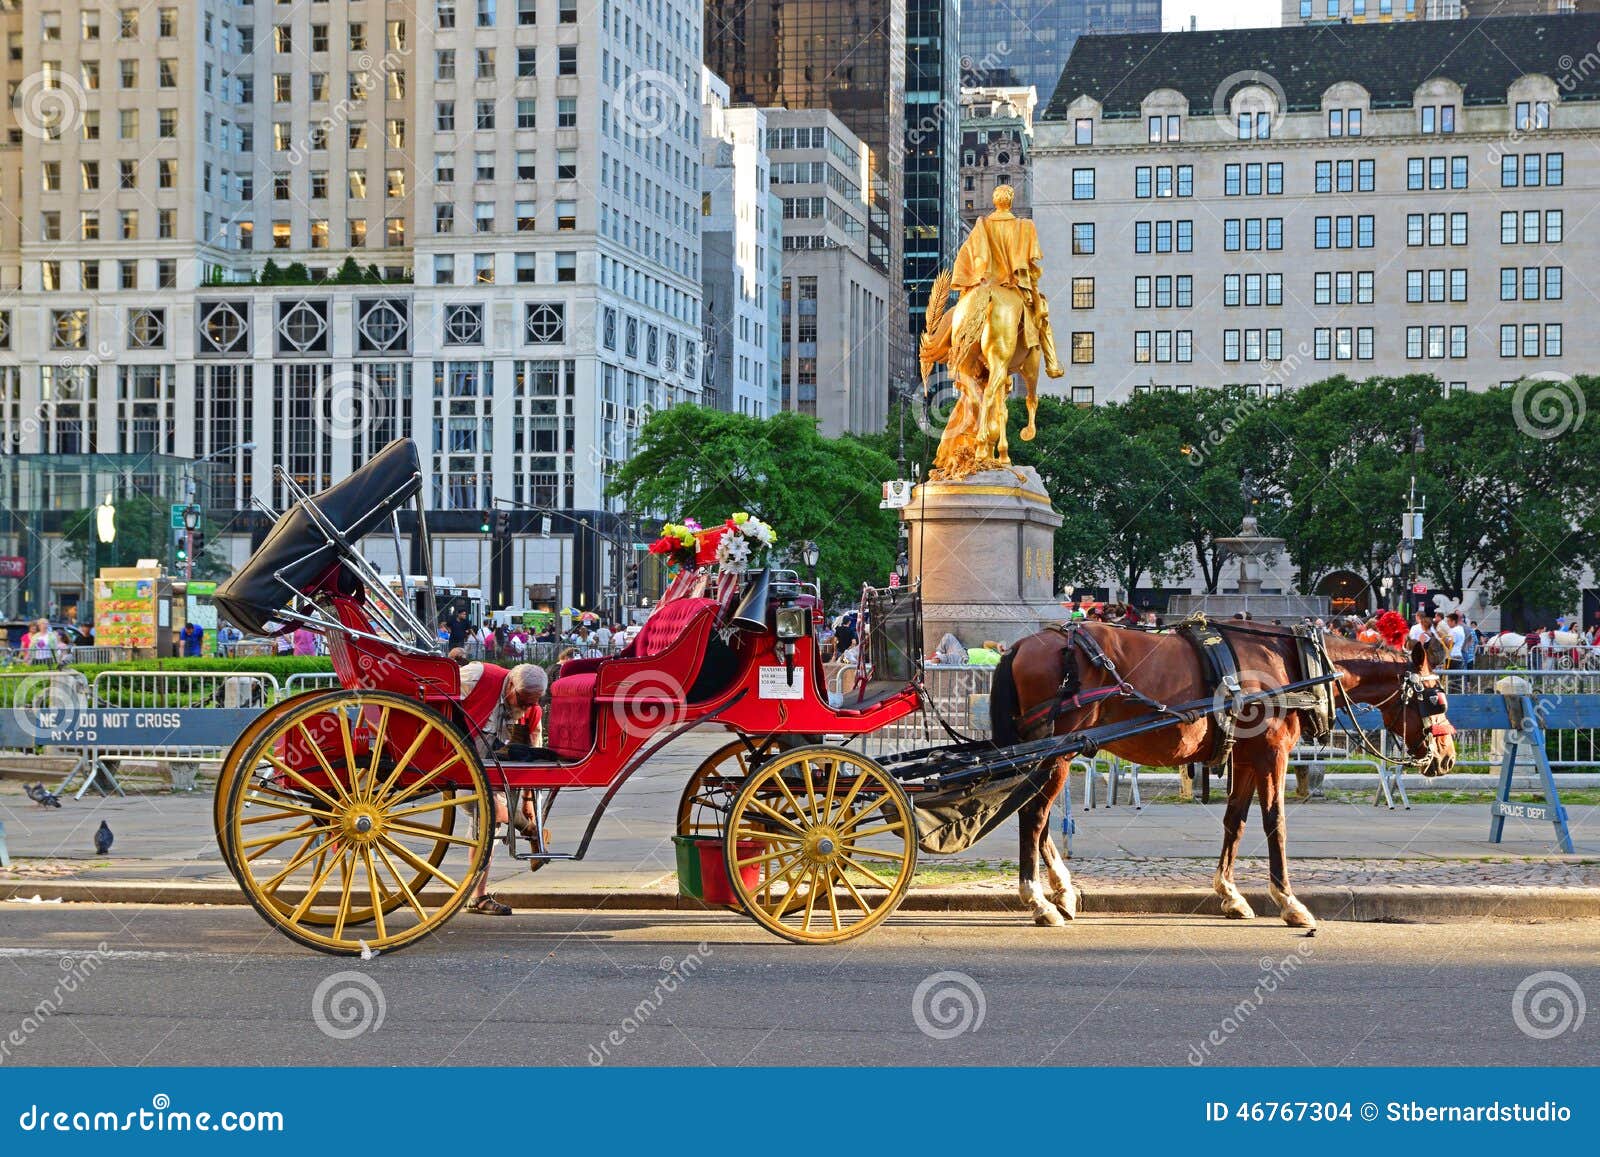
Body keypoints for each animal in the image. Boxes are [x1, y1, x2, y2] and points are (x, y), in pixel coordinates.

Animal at [985, 624, 1452, 934]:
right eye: (1438, 701)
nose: (1447, 757)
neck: (1295, 665)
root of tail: (1023, 644)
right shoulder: (1271, 753)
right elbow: (1274, 823)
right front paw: (1289, 901)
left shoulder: (1245, 758)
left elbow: (1235, 821)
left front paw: (1230, 893)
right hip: (1057, 751)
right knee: (1033, 818)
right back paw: (1038, 900)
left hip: (1051, 755)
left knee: (1040, 820)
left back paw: (1062, 892)